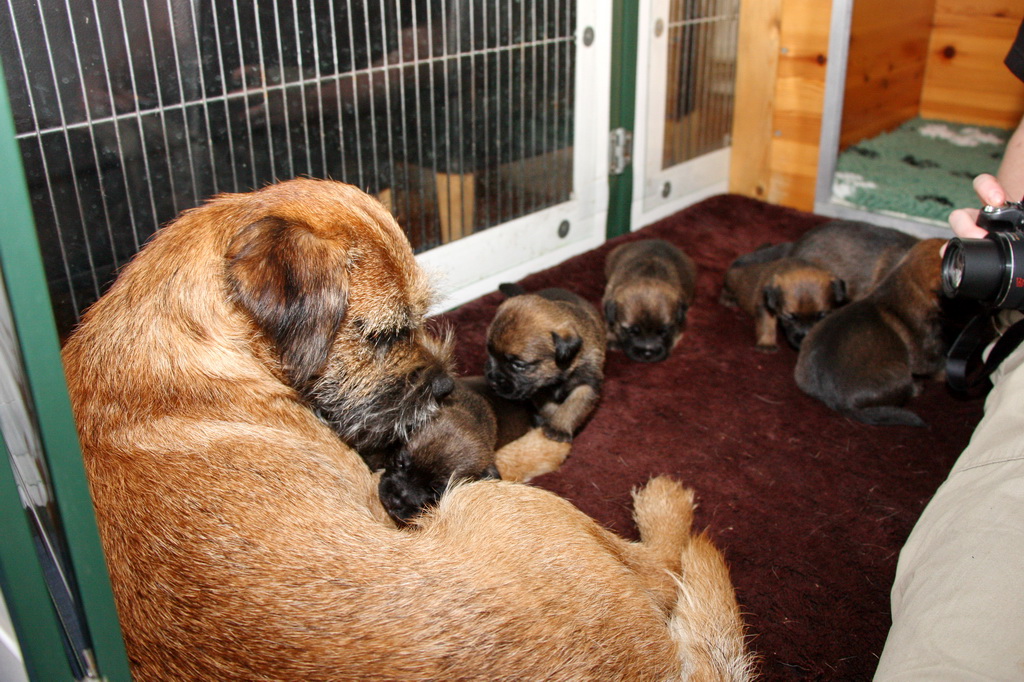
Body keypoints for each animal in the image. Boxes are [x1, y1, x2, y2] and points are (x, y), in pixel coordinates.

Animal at [485, 283, 606, 443]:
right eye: (490, 354)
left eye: (518, 365)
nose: (492, 382)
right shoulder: (538, 389)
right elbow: (548, 407)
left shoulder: (587, 384)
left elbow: (572, 406)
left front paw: (558, 428)